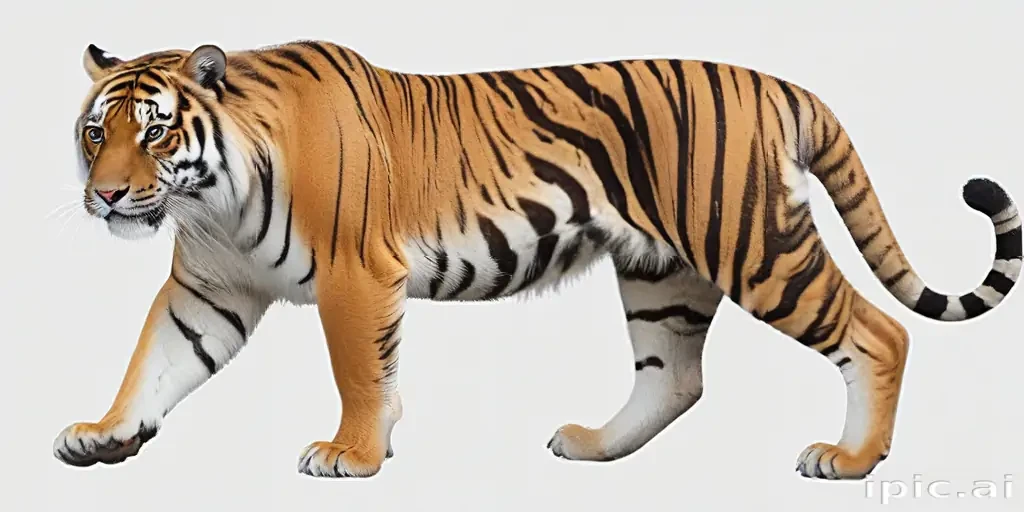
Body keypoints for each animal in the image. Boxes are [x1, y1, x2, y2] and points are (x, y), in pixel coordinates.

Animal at [53, 39, 1021, 481]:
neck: (209, 196)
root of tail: (783, 83)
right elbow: (153, 362)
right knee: (675, 378)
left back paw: (849, 461)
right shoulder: (207, 290)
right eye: (97, 133)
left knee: (880, 332)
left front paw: (351, 455)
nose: (108, 195)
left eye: (156, 131)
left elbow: (361, 373)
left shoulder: (356, 276)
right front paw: (104, 433)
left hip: (758, 249)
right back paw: (593, 446)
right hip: (661, 273)